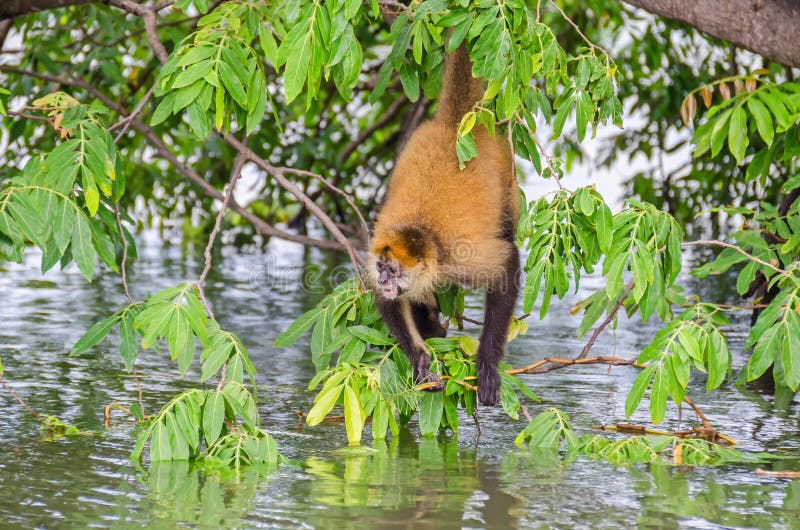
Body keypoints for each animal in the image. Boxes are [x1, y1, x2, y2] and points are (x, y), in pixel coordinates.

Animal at [368, 41, 520, 404]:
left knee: (508, 230)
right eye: (380, 267)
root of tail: (454, 126)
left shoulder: (457, 256)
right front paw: (420, 358)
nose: (383, 279)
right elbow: (388, 301)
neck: (423, 232)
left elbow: (506, 265)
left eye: (393, 270)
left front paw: (487, 363)